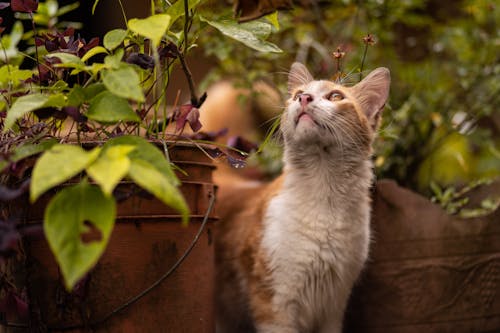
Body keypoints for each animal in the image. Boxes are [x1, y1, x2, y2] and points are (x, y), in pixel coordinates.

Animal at [213, 63, 388, 332]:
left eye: (335, 96)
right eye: (298, 94)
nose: (304, 98)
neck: (324, 194)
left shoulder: (333, 306)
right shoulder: (275, 305)